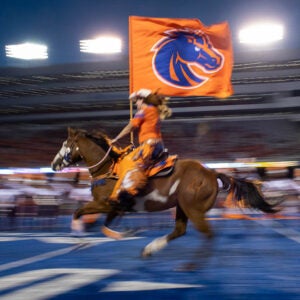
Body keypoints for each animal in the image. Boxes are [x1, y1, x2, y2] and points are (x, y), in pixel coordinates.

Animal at [51, 127, 276, 256]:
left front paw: (80, 240)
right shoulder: (115, 207)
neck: (109, 169)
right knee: (180, 231)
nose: (54, 164)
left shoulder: (106, 203)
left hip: (192, 208)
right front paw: (124, 233)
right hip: (182, 207)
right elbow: (104, 224)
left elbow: (78, 213)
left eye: (65, 144)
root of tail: (212, 173)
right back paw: (151, 248)